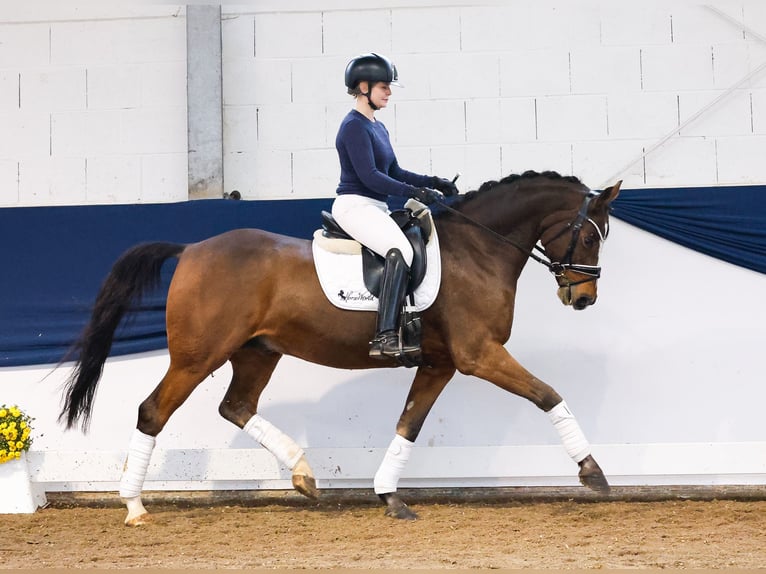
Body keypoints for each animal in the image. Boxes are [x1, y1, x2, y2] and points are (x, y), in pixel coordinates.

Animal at [60, 170, 624, 528]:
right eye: (591, 238)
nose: (584, 298)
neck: (478, 250)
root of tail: (192, 249)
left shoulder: (441, 363)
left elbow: (408, 425)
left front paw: (390, 497)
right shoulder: (478, 355)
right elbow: (548, 395)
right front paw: (593, 473)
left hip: (257, 352)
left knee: (236, 406)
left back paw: (304, 475)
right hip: (198, 356)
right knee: (153, 411)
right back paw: (134, 508)